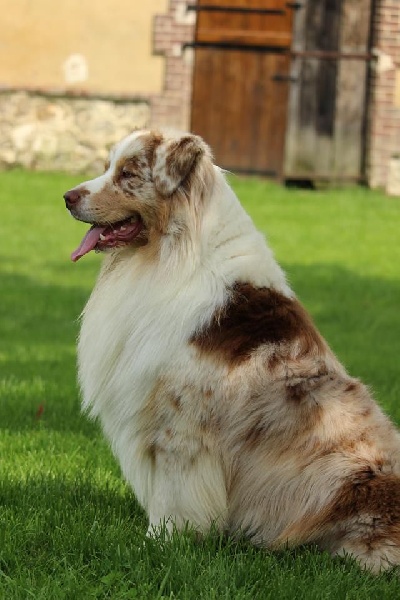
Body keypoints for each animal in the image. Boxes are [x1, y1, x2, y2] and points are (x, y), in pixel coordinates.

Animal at [64, 130, 400, 572]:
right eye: (107, 167)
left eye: (128, 174)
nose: (67, 197)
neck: (168, 257)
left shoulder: (179, 422)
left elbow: (173, 494)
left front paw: (158, 544)